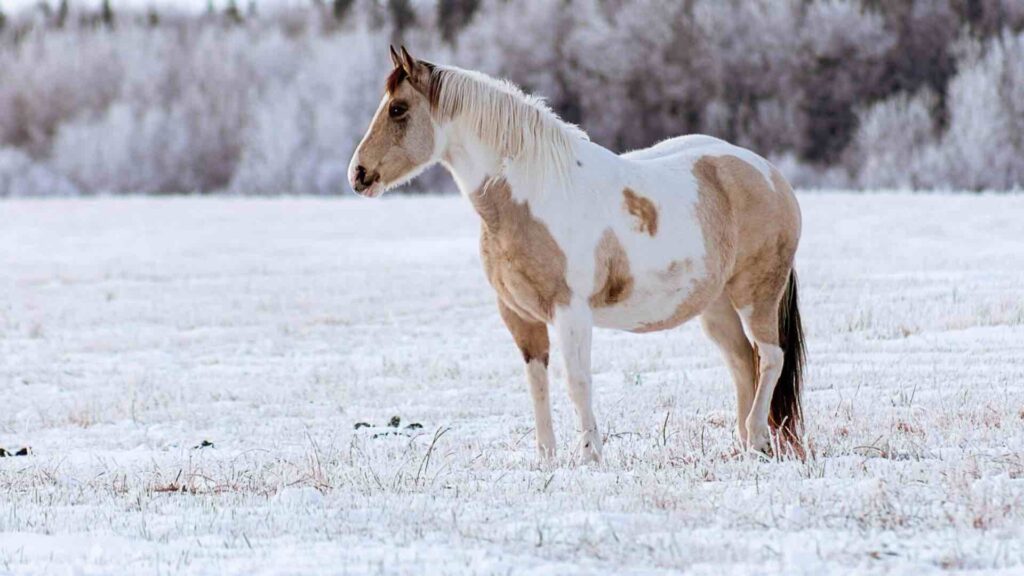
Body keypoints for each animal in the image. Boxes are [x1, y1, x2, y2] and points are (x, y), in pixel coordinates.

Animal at [348, 45, 802, 461]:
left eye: (398, 109)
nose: (358, 174)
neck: (533, 194)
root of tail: (771, 175)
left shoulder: (570, 312)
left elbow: (577, 382)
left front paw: (589, 456)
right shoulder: (520, 316)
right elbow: (538, 384)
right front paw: (546, 460)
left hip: (756, 295)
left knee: (770, 358)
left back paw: (757, 437)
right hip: (716, 307)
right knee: (743, 363)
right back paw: (749, 447)